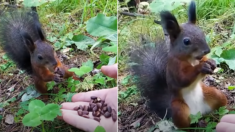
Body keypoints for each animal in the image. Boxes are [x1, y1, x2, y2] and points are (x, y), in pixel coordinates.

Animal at [130, 0, 228, 129]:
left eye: (202, 33)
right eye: (186, 41)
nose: (207, 50)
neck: (192, 59)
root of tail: (199, 112)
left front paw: (212, 62)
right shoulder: (174, 67)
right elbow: (183, 79)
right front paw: (201, 67)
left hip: (215, 95)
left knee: (220, 101)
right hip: (179, 109)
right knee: (185, 124)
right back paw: (196, 124)